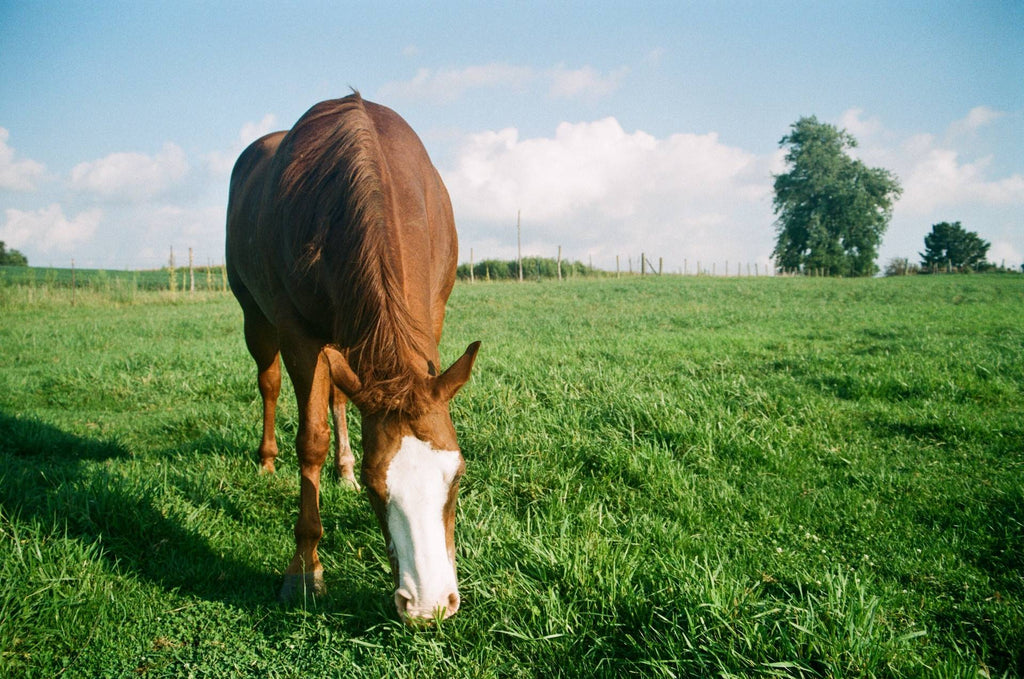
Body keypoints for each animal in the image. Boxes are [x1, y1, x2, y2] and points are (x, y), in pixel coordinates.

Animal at [225, 93, 479, 622]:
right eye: (377, 486)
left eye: (458, 476)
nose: (429, 606)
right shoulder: (298, 333)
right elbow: (310, 440)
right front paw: (304, 570)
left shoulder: (432, 315)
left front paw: (343, 470)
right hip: (255, 316)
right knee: (269, 383)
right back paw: (267, 461)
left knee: (340, 397)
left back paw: (338, 469)